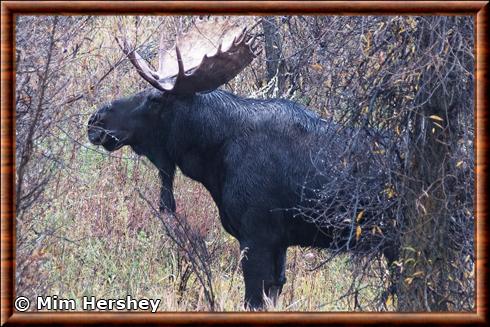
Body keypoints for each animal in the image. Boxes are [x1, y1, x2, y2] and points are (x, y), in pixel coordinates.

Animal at [87, 18, 394, 310]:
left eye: (153, 99)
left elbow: (252, 299)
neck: (214, 158)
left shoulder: (256, 235)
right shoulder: (279, 242)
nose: (96, 120)